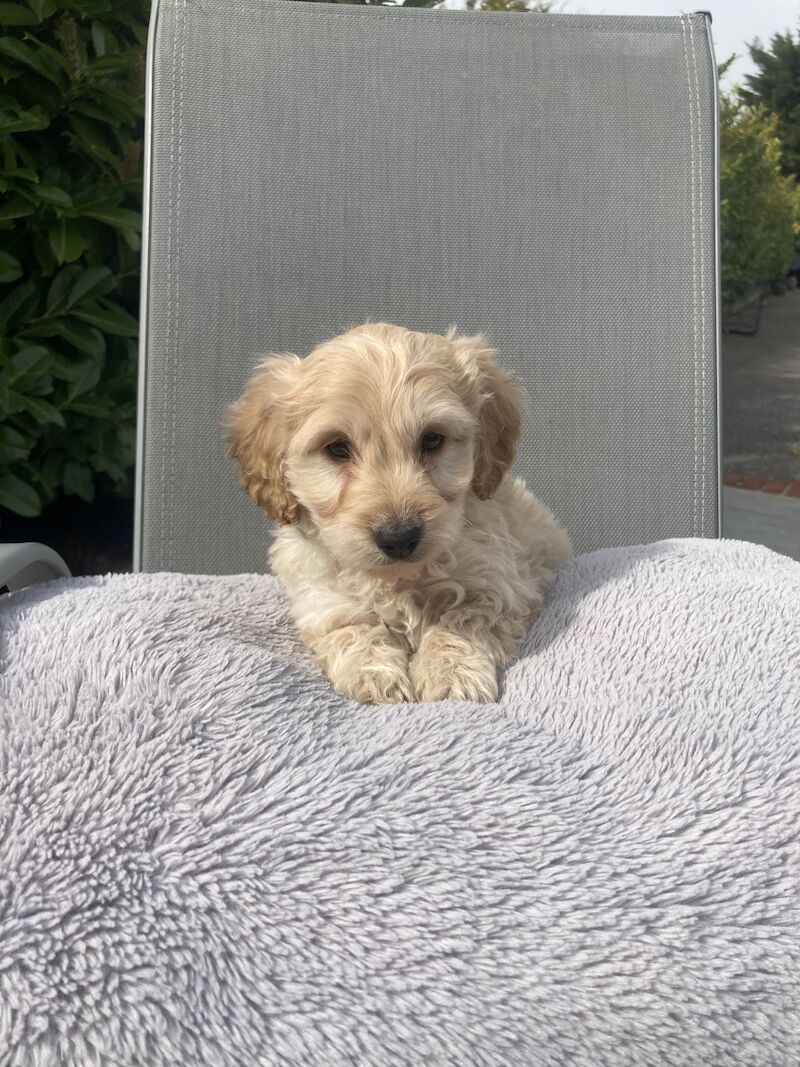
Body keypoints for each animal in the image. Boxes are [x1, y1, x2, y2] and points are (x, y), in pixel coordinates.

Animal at [228, 324, 571, 708]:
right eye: (337, 448)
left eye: (432, 439)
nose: (398, 537)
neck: (397, 580)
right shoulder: (322, 600)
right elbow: (353, 629)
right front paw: (373, 675)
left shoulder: (502, 584)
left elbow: (462, 620)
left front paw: (452, 676)